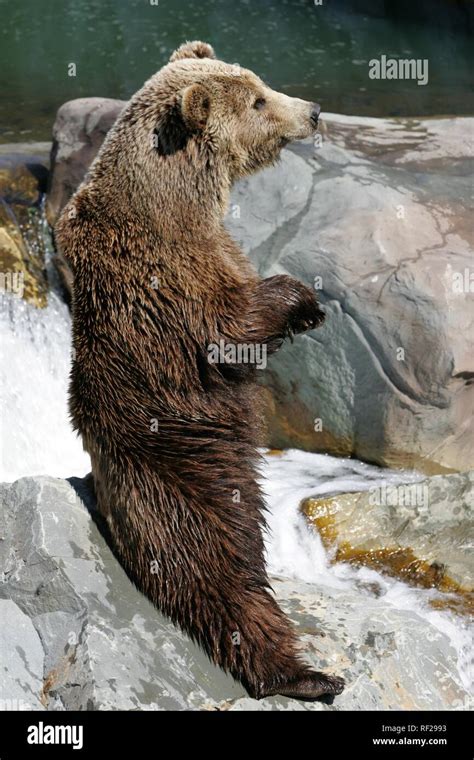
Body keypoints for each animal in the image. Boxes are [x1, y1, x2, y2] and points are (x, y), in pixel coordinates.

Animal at [54, 37, 344, 700]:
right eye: (259, 99)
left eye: (260, 82)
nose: (314, 110)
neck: (178, 201)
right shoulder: (169, 278)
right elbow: (227, 329)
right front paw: (306, 300)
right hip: (181, 472)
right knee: (218, 570)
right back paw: (304, 674)